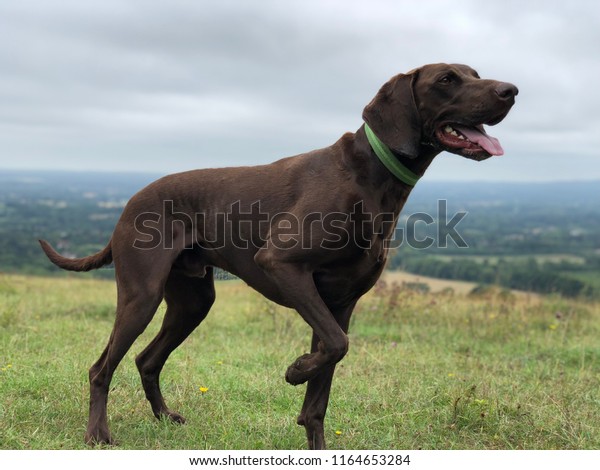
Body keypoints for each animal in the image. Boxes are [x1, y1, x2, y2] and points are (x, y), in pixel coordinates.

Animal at [38, 62, 516, 448]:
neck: (371, 176)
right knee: (101, 368)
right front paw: (296, 369)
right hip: (141, 296)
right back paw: (98, 434)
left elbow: (323, 387)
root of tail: (130, 202)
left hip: (193, 302)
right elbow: (336, 346)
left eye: (475, 73)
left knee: (147, 359)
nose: (511, 90)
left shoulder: (341, 303)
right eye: (446, 80)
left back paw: (164, 418)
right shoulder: (283, 266)